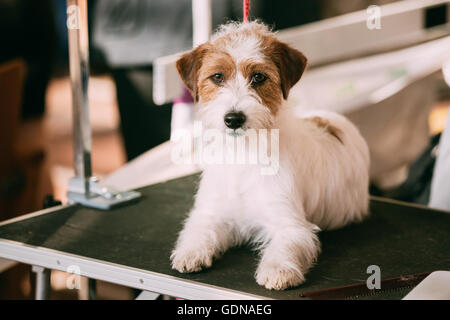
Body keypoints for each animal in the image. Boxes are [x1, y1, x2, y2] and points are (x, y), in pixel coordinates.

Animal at [170, 20, 370, 290]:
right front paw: (191, 251)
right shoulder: (213, 212)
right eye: (218, 77)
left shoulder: (290, 223)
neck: (243, 153)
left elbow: (286, 246)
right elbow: (199, 229)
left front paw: (278, 270)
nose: (233, 119)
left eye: (258, 77)